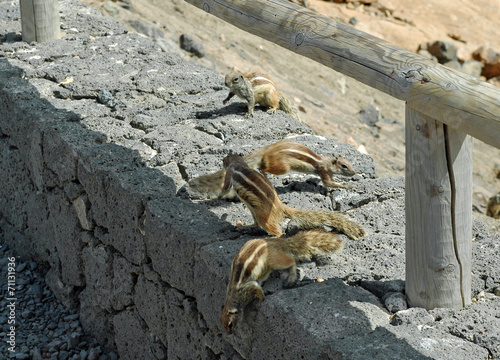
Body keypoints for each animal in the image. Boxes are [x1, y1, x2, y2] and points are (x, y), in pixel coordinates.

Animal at [188, 140, 356, 198]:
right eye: (344, 166)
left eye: (350, 164)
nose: (354, 173)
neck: (327, 161)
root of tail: (267, 149)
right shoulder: (323, 170)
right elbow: (328, 183)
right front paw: (348, 186)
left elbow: (332, 181)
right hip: (283, 166)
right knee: (264, 166)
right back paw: (264, 173)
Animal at [221, 154, 366, 240]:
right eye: (227, 156)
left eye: (225, 159)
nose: (222, 160)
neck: (238, 163)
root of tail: (280, 205)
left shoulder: (229, 173)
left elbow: (225, 187)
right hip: (254, 210)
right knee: (256, 224)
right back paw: (244, 226)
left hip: (263, 215)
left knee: (277, 231)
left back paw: (272, 238)